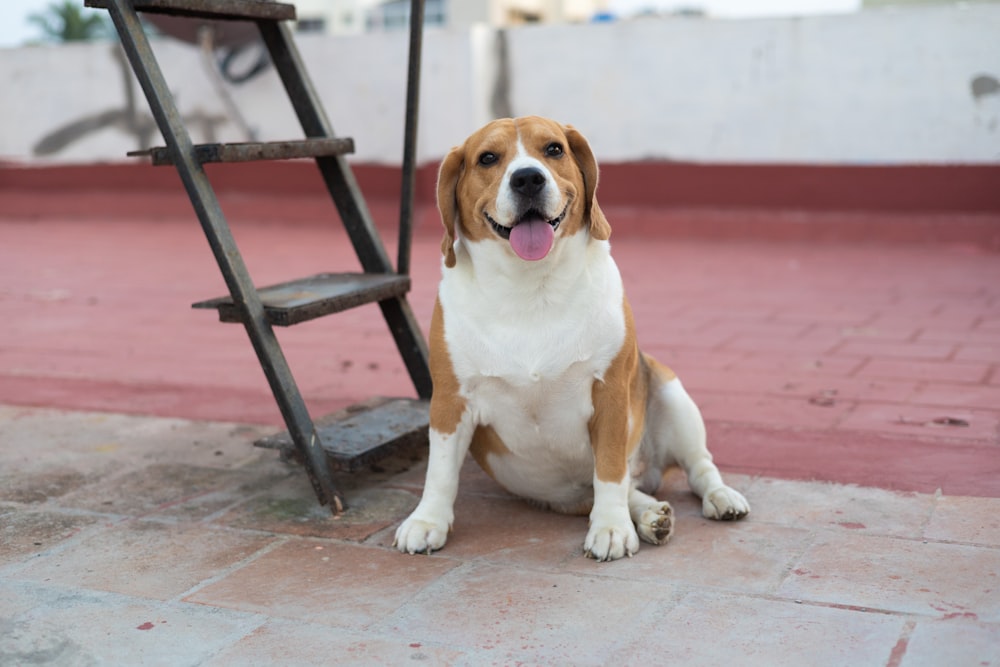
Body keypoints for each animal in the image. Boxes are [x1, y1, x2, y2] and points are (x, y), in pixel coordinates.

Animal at [394, 117, 748, 560]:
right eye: (488, 158)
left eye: (554, 149)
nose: (528, 178)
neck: (531, 288)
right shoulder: (449, 400)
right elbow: (440, 470)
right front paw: (427, 521)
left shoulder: (610, 395)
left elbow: (609, 470)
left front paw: (611, 528)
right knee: (630, 491)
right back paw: (652, 515)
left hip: (671, 393)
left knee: (696, 468)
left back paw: (718, 497)